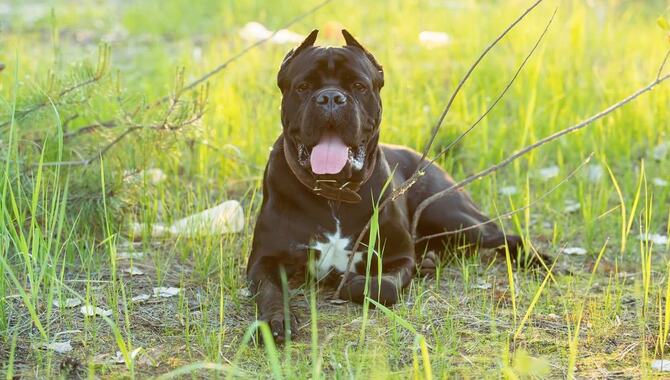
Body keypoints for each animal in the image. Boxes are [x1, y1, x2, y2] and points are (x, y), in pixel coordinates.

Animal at [249, 31, 528, 342]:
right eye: (304, 86)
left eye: (358, 85)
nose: (331, 97)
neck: (336, 192)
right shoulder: (265, 260)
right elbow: (270, 291)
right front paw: (277, 321)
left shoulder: (398, 256)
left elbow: (384, 287)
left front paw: (351, 281)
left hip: (452, 216)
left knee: (508, 238)